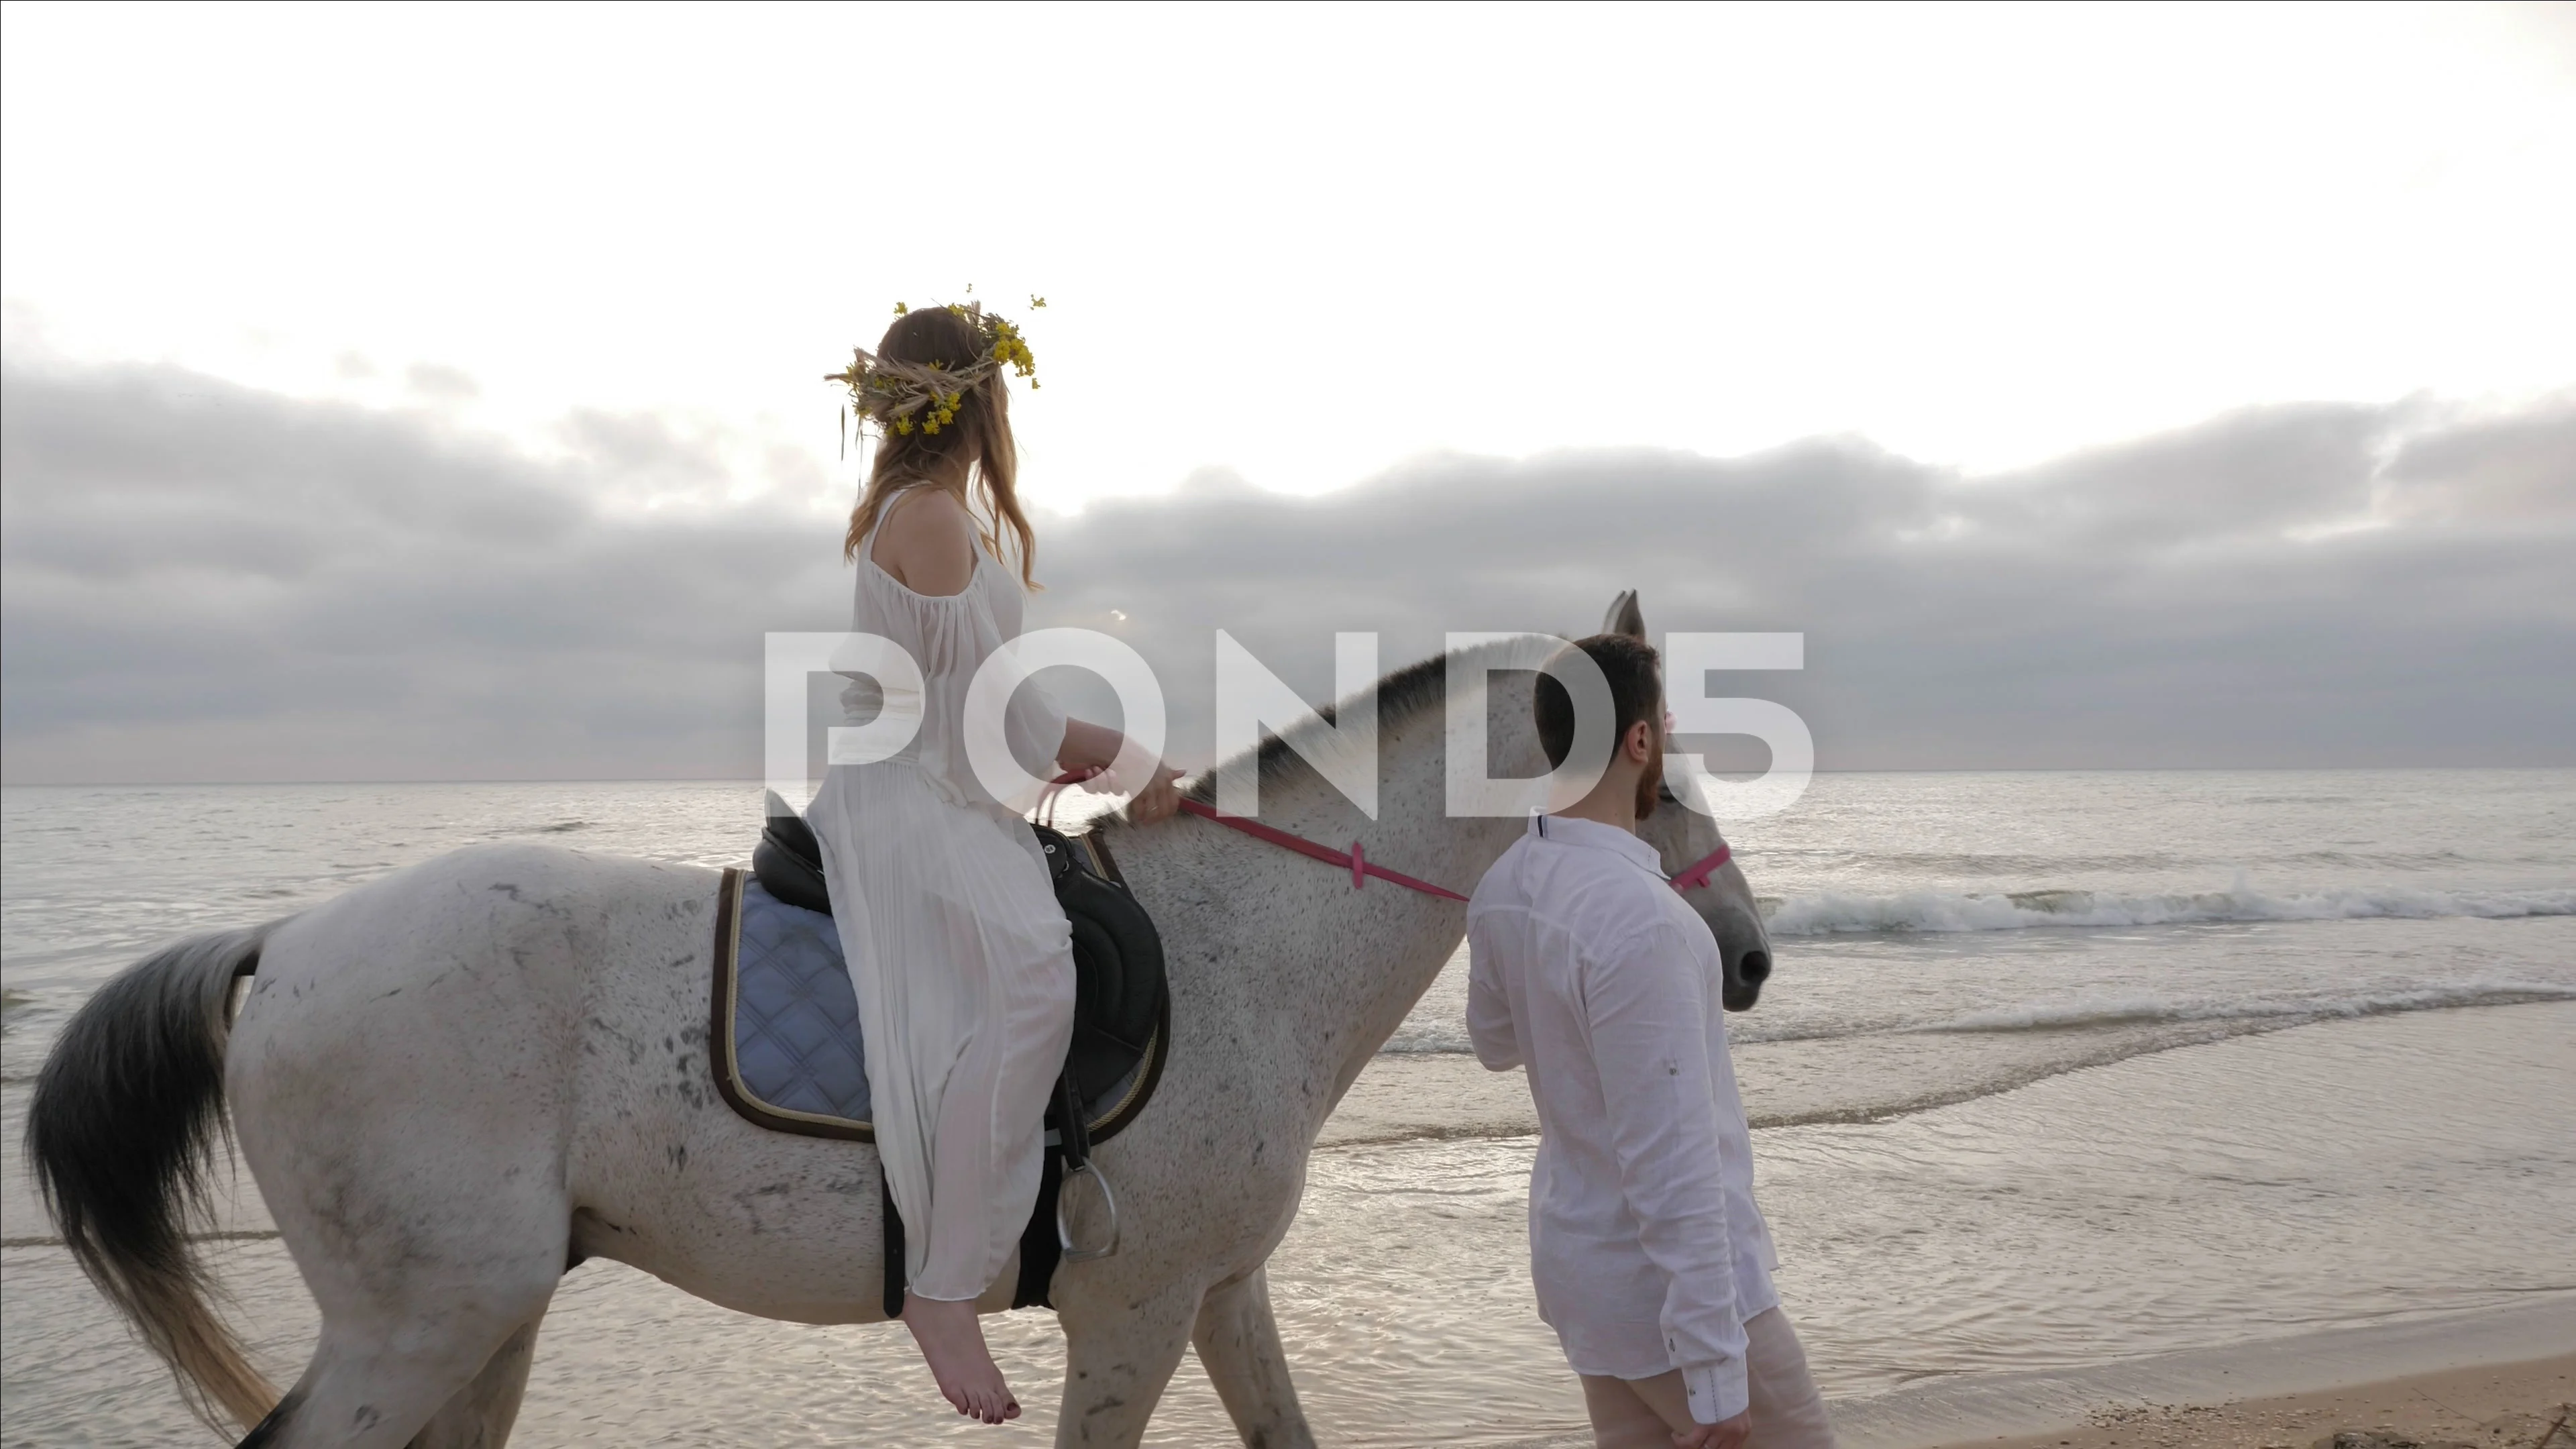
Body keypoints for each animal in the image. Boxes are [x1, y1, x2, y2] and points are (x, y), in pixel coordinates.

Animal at [35, 590, 1772, 1444]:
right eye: (1654, 778)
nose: (1747, 956)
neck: (1247, 942)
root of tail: (279, 946)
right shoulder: (1134, 1310)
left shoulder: (1221, 1294)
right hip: (423, 1325)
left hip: (485, 1320)